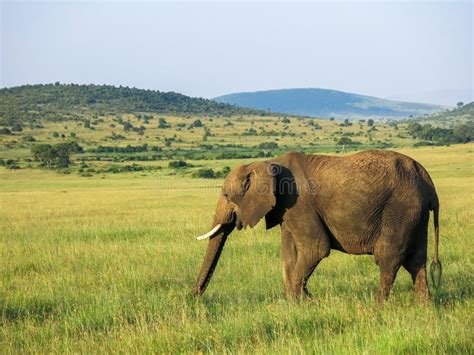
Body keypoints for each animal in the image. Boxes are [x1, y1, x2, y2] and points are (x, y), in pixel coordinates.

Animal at [192, 151, 440, 304]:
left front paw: (304, 300)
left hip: (401, 208)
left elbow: (316, 249)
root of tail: (428, 181)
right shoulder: (286, 209)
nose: (193, 298)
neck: (266, 164)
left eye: (226, 195)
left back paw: (376, 306)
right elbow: (289, 255)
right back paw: (423, 306)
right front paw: (298, 302)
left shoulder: (298, 202)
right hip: (415, 215)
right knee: (416, 260)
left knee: (388, 257)